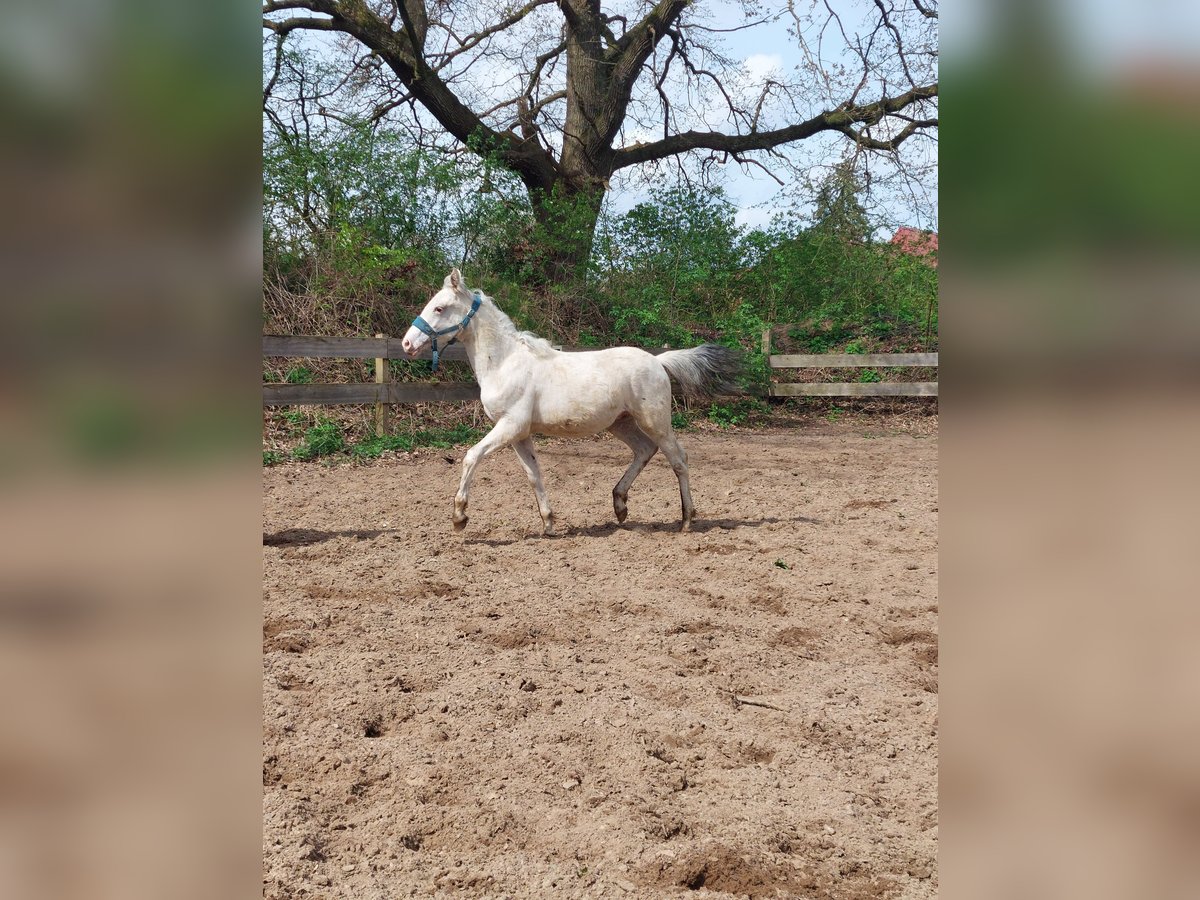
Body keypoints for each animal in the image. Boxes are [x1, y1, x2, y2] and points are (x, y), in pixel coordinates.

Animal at [403, 267, 739, 535]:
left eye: (439, 308)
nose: (407, 343)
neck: (505, 362)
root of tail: (658, 360)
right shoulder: (519, 434)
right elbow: (534, 475)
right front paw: (548, 523)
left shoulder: (510, 426)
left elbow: (472, 456)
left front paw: (459, 517)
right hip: (621, 423)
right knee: (645, 450)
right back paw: (620, 506)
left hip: (655, 420)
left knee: (678, 459)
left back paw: (686, 520)